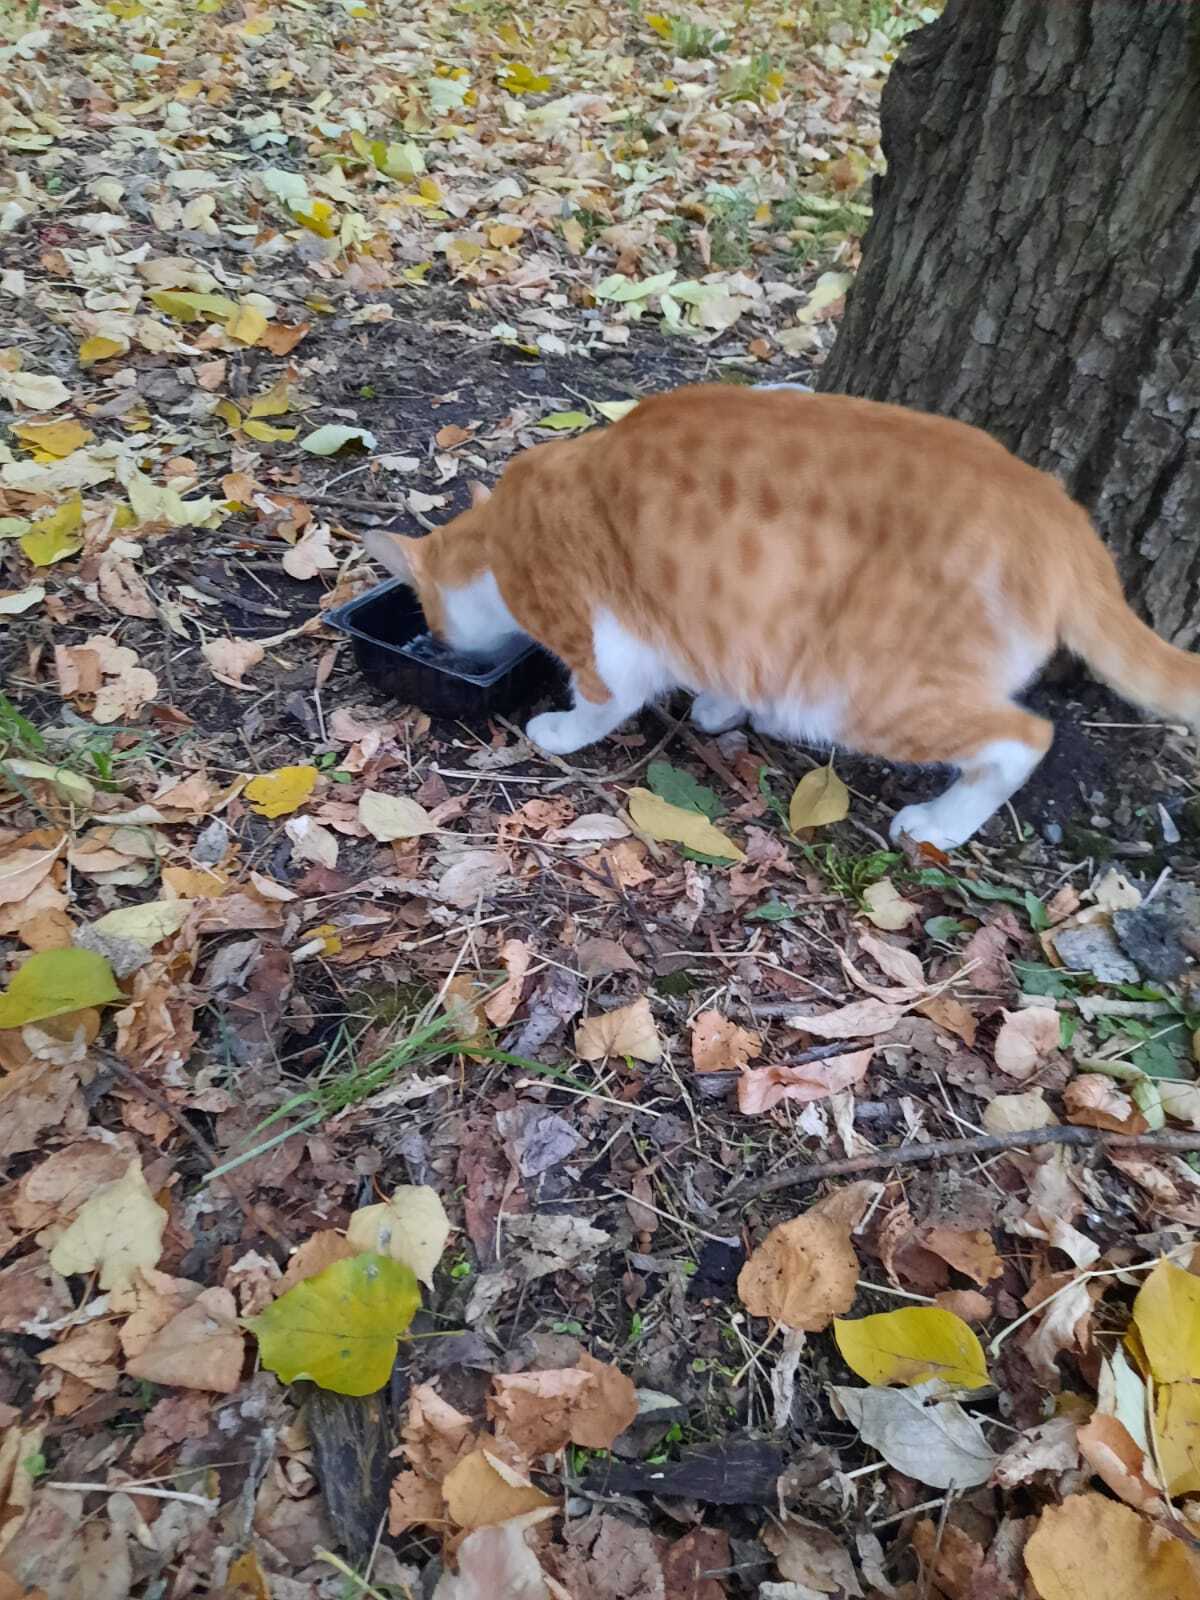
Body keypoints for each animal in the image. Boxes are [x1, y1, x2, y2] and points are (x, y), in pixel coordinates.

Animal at [366, 382, 1200, 851]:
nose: (435, 642)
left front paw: (560, 730)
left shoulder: (605, 641)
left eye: (433, 620)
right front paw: (718, 706)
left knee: (1025, 738)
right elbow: (722, 666)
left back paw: (940, 823)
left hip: (861, 693)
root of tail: (1060, 516)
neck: (506, 529)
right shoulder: (722, 626)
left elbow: (602, 700)